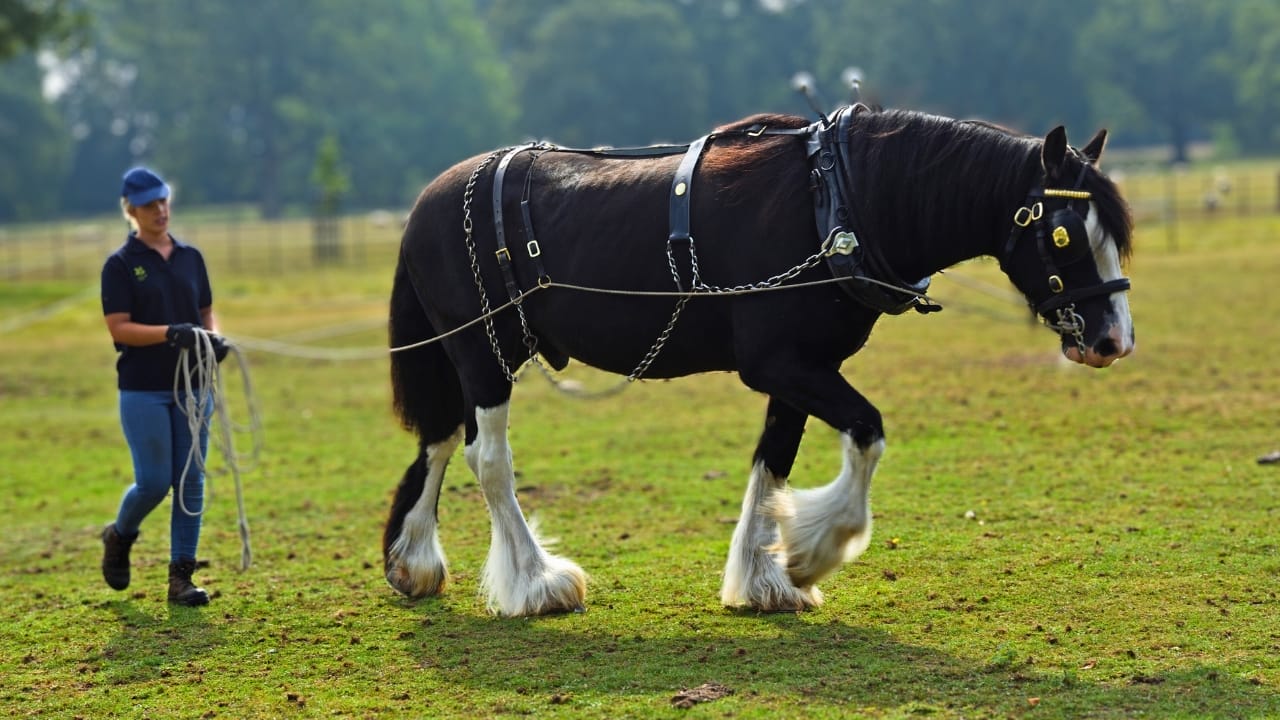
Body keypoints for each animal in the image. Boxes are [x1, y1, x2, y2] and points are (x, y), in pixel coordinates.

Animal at [382, 104, 1134, 617]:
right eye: (1063, 232)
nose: (1113, 342)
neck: (837, 199)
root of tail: (424, 203)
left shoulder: (799, 367)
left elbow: (775, 460)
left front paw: (763, 578)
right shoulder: (780, 363)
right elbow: (867, 432)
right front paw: (810, 553)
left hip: (467, 355)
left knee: (441, 440)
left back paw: (412, 559)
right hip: (483, 353)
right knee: (486, 459)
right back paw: (537, 582)